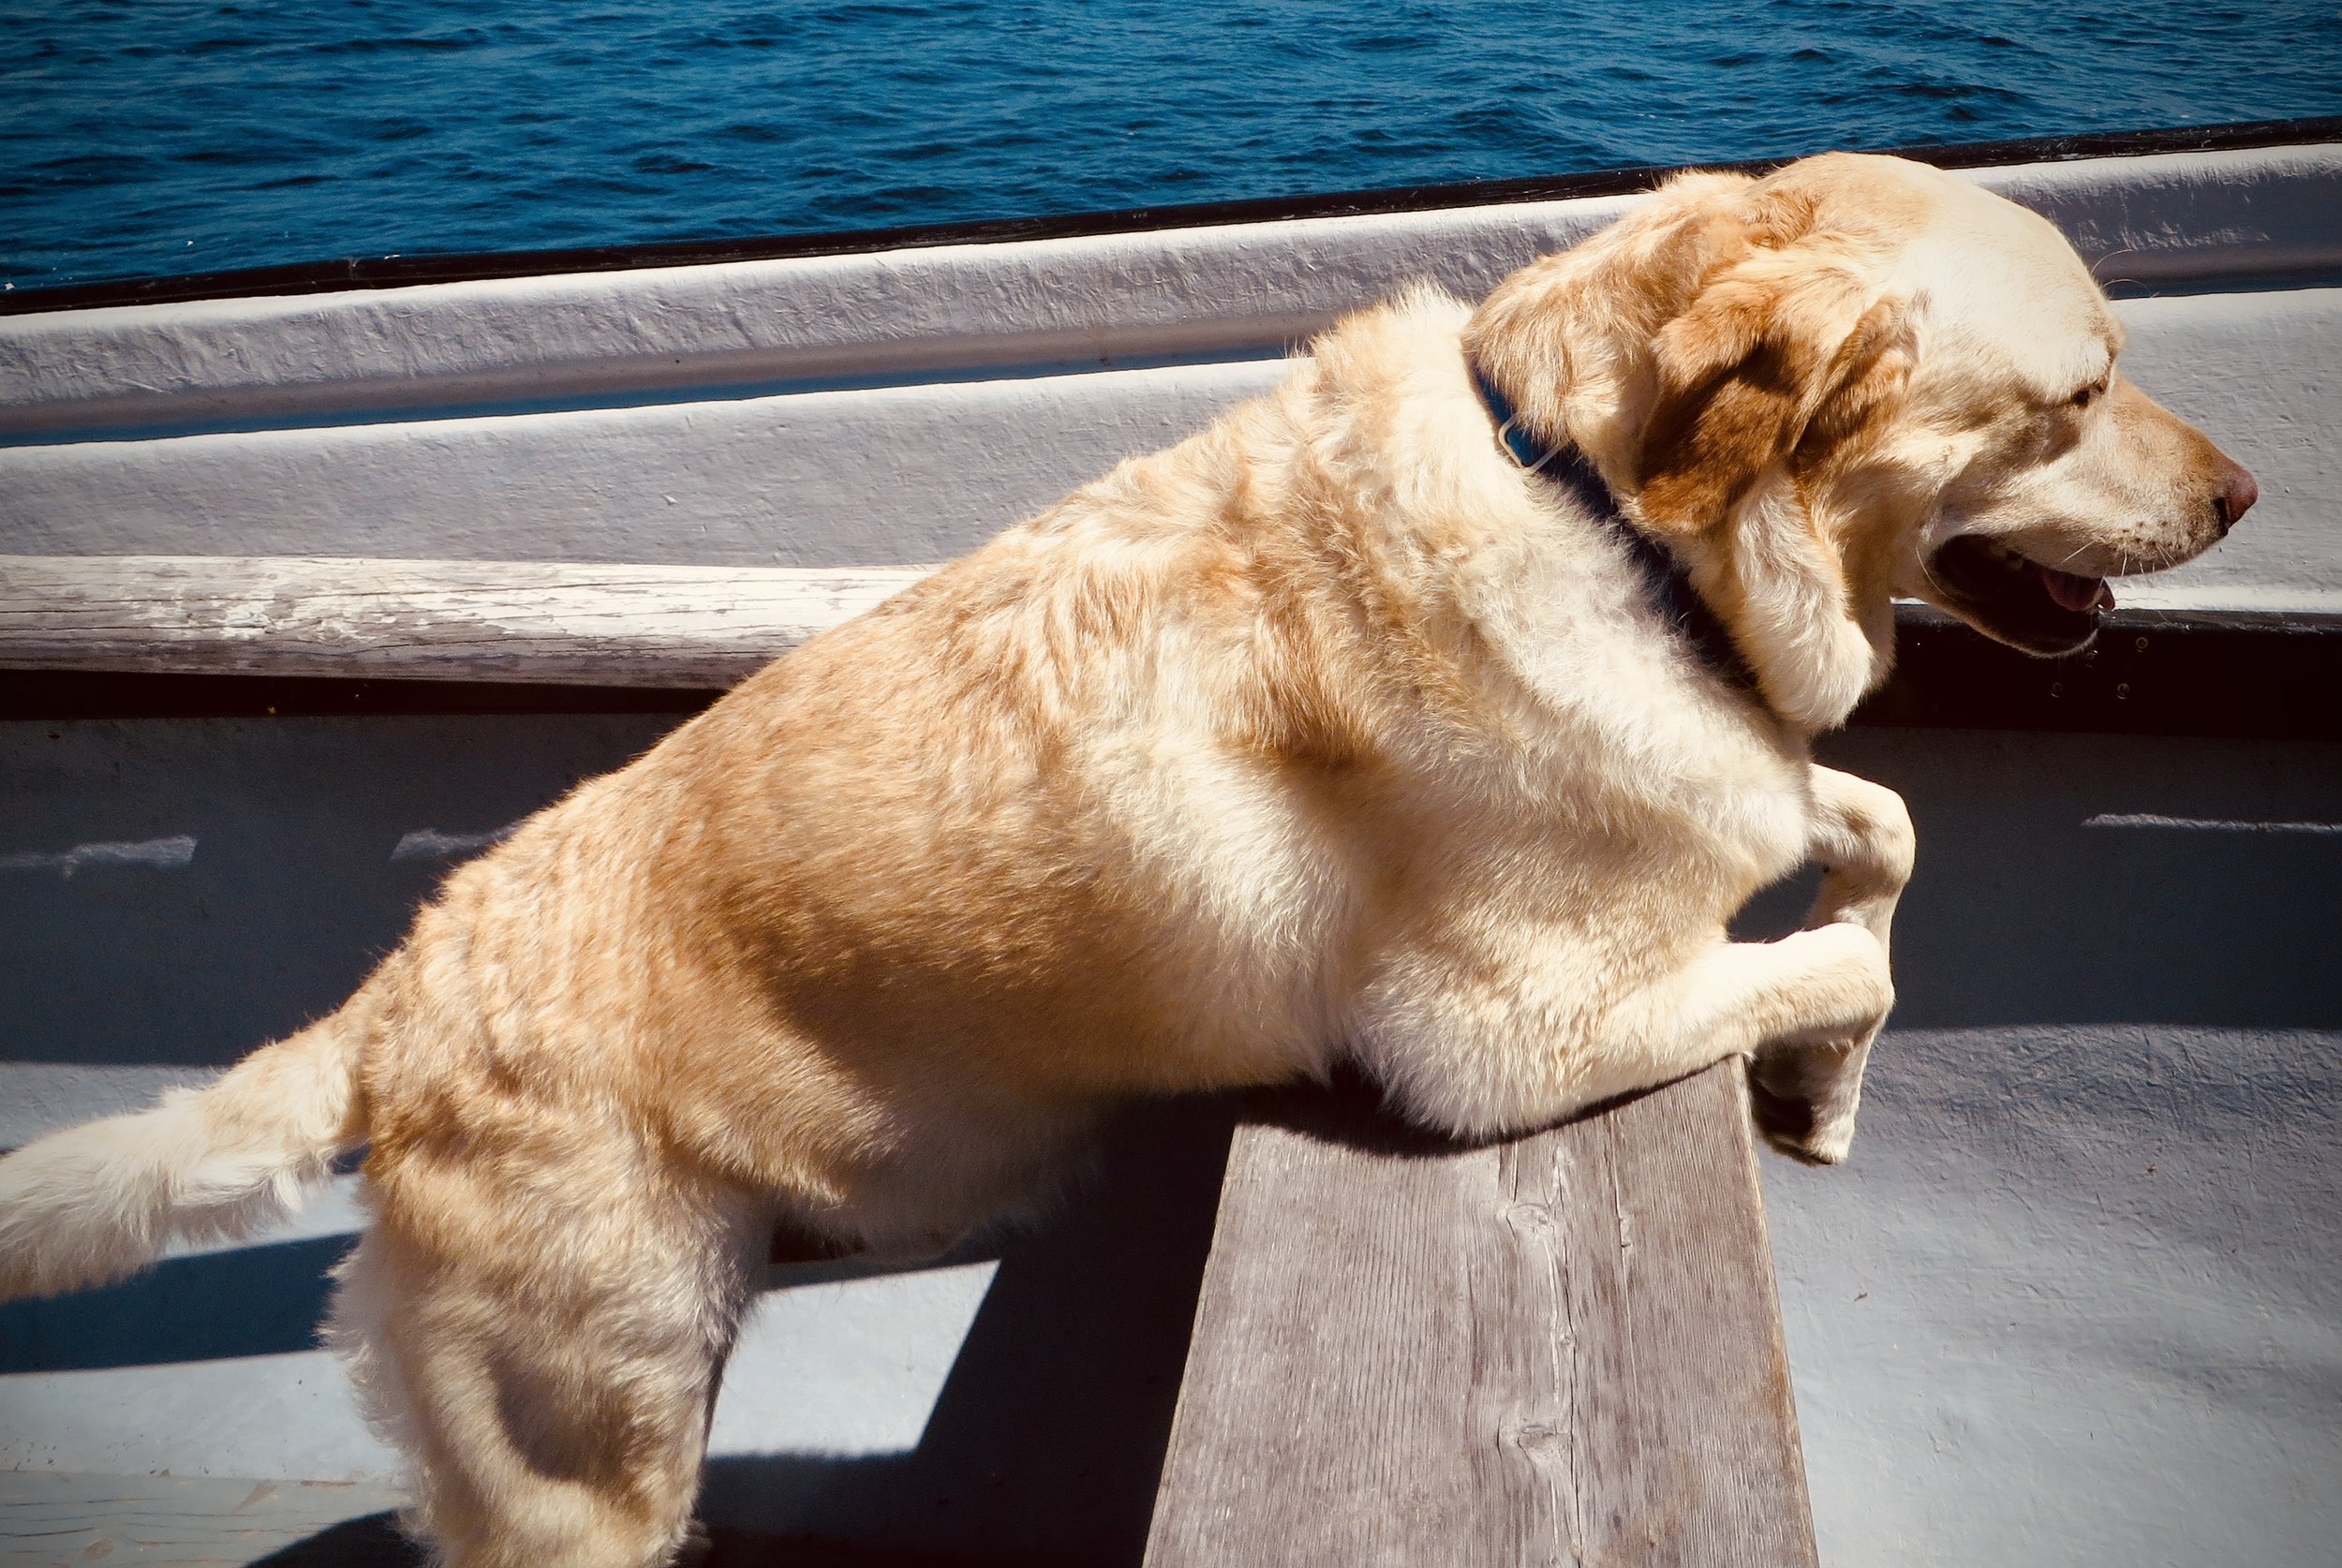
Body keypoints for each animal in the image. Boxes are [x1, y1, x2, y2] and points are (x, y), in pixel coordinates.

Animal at [0, 151, 2248, 1568]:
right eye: (2077, 393)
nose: (2240, 494)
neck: (1607, 514)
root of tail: (391, 1005)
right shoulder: (1495, 1041)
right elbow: (1851, 948)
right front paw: (1820, 1075)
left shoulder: (1744, 775)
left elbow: (1866, 820)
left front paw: (1815, 1056)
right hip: (582, 1456)